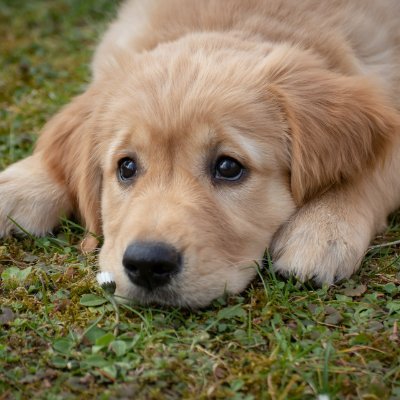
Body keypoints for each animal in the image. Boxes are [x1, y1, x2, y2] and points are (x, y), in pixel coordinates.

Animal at [0, 0, 400, 308]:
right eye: (126, 167)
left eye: (228, 167)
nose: (147, 264)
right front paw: (19, 184)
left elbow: (376, 170)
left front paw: (323, 226)